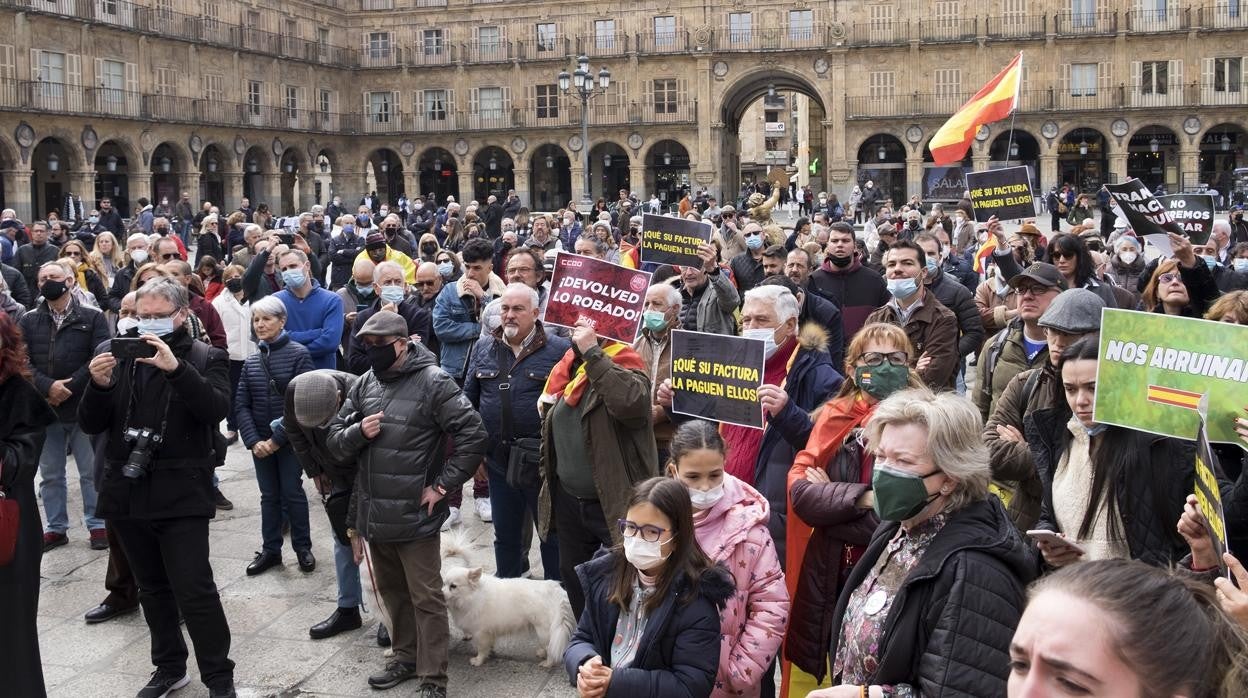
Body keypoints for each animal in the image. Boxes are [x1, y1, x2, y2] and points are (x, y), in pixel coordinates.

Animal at [441, 564, 571, 669]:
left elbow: (481, 648)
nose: (440, 593)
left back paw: (548, 663)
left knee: (550, 647)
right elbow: (488, 646)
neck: (471, 596)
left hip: (543, 630)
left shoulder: (480, 633)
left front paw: (478, 660)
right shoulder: (488, 633)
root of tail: (555, 590)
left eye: (453, 586)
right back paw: (542, 653)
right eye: (444, 584)